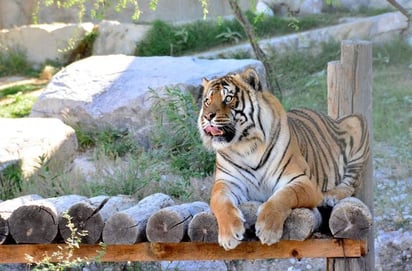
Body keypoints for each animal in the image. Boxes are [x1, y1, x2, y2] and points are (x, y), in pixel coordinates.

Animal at [197, 67, 370, 251]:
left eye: (228, 98)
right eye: (207, 101)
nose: (208, 116)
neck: (245, 146)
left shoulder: (302, 182)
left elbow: (282, 197)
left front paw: (267, 230)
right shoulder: (227, 183)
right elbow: (220, 202)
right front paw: (229, 234)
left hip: (357, 122)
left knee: (351, 183)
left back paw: (331, 195)